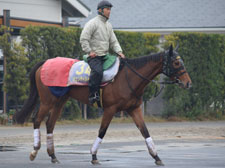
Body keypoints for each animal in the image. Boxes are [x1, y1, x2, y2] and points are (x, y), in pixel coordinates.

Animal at [14, 45, 192, 166]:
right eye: (176, 63)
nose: (188, 83)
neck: (128, 77)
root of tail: (45, 62)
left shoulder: (133, 109)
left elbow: (145, 131)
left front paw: (156, 156)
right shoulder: (110, 109)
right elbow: (102, 131)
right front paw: (93, 156)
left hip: (59, 101)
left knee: (50, 124)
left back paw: (53, 155)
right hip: (47, 101)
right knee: (37, 120)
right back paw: (34, 150)